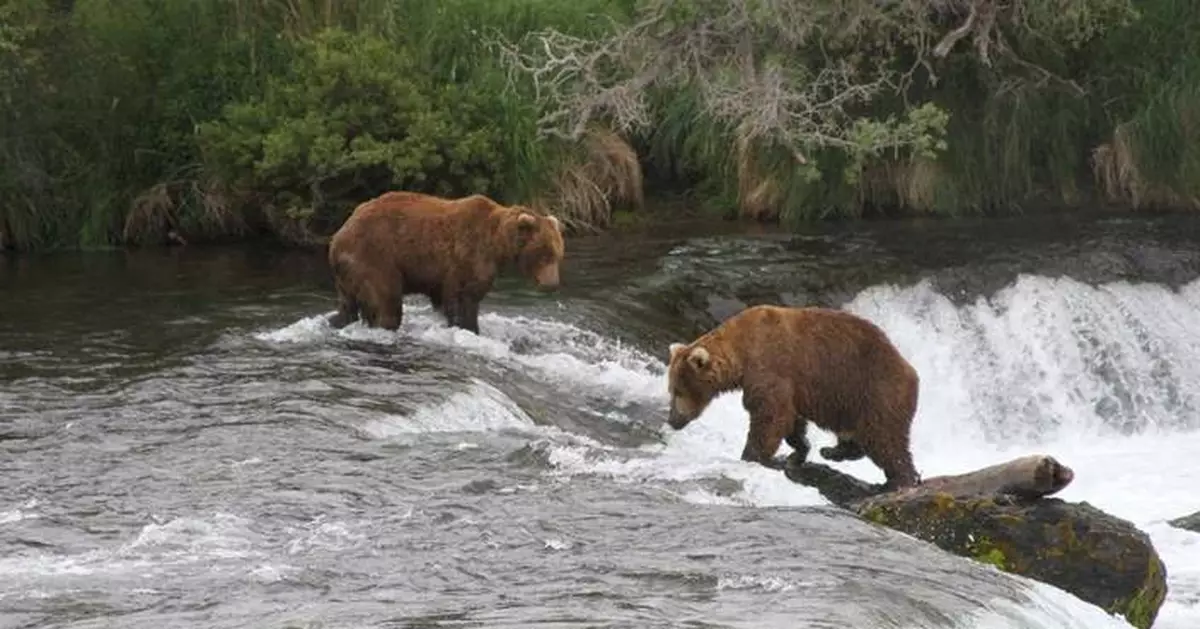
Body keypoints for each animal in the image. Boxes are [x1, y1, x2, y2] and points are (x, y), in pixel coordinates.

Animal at [326, 190, 565, 335]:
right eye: (544, 253)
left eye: (558, 254)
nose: (552, 284)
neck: (497, 243)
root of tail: (337, 237)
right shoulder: (467, 257)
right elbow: (463, 298)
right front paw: (467, 327)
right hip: (374, 257)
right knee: (386, 303)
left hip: (347, 275)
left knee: (347, 307)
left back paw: (335, 321)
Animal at [664, 304, 922, 490]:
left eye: (677, 391)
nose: (672, 420)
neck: (742, 352)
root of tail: (911, 371)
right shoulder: (790, 386)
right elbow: (791, 419)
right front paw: (798, 450)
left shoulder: (770, 366)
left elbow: (770, 415)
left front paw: (751, 455)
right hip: (849, 402)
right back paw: (832, 451)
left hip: (874, 390)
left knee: (884, 438)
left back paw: (899, 480)